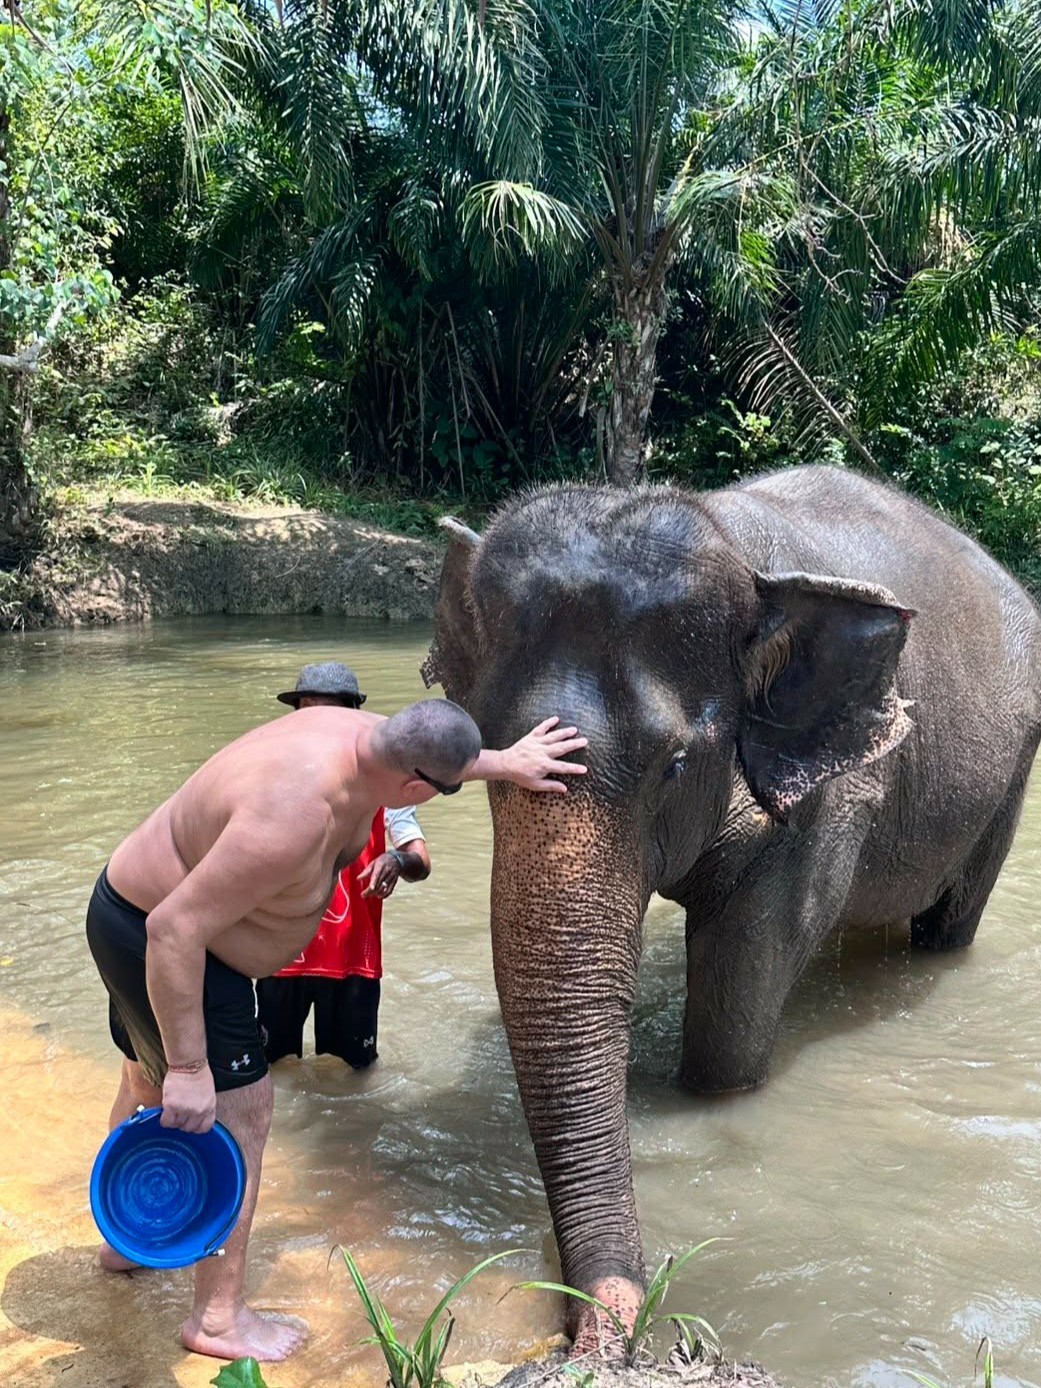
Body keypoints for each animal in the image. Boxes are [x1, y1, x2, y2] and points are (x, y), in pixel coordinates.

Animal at [421, 463, 1041, 1349]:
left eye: (674, 765)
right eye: (482, 746)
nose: (591, 1329)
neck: (732, 545)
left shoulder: (834, 788)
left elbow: (747, 968)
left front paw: (708, 1090)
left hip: (1011, 767)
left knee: (947, 926)